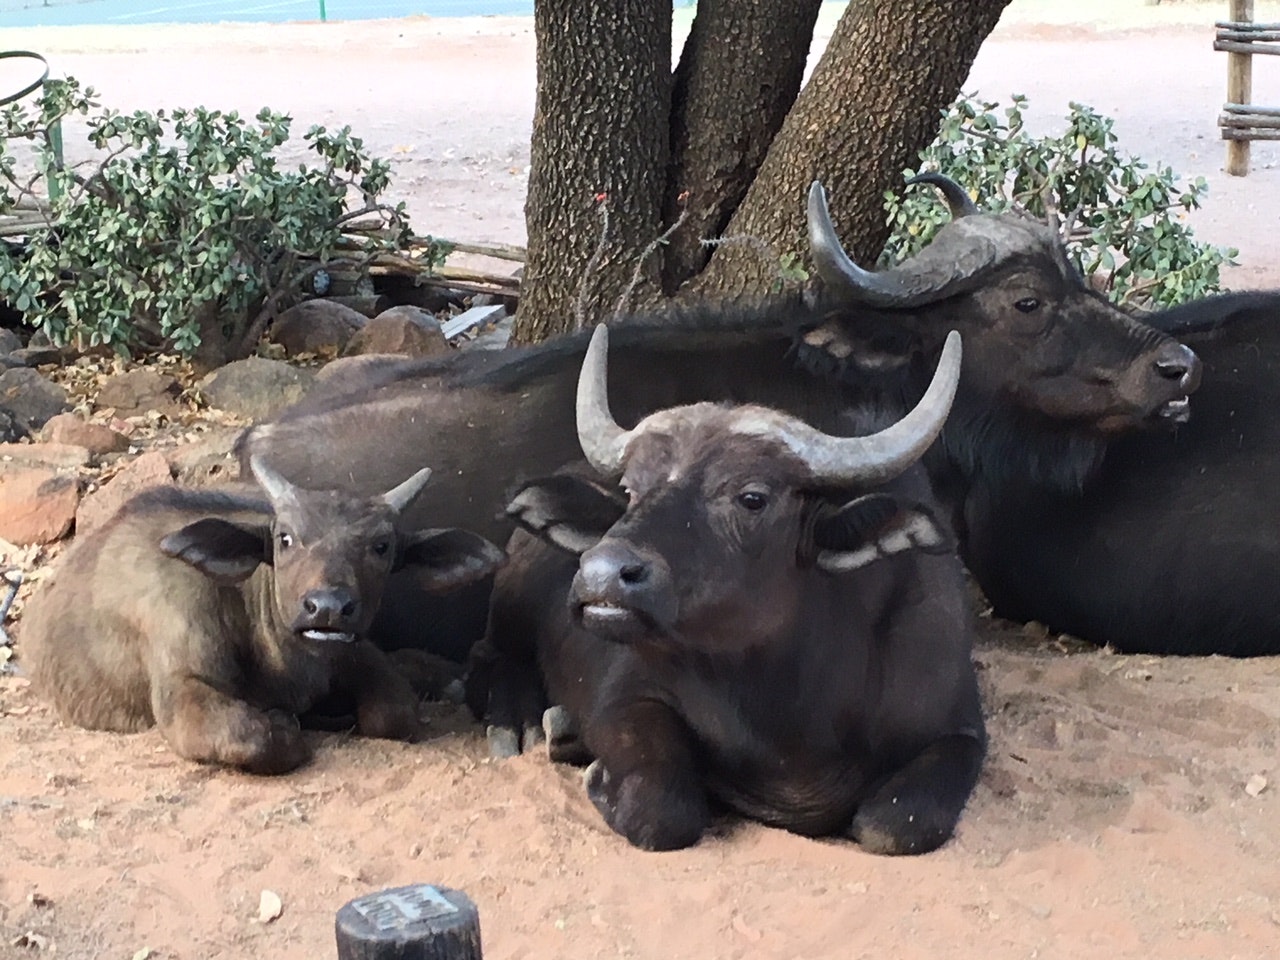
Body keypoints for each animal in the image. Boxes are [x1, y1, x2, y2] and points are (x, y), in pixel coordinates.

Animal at [18, 459, 503, 773]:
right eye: (284, 538)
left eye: (381, 546)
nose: (327, 607)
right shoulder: (183, 684)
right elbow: (259, 736)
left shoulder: (354, 650)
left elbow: (394, 712)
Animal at [466, 325, 983, 854]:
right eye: (630, 489)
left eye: (752, 497)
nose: (600, 573)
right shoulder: (626, 698)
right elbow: (660, 810)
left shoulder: (960, 726)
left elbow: (893, 825)